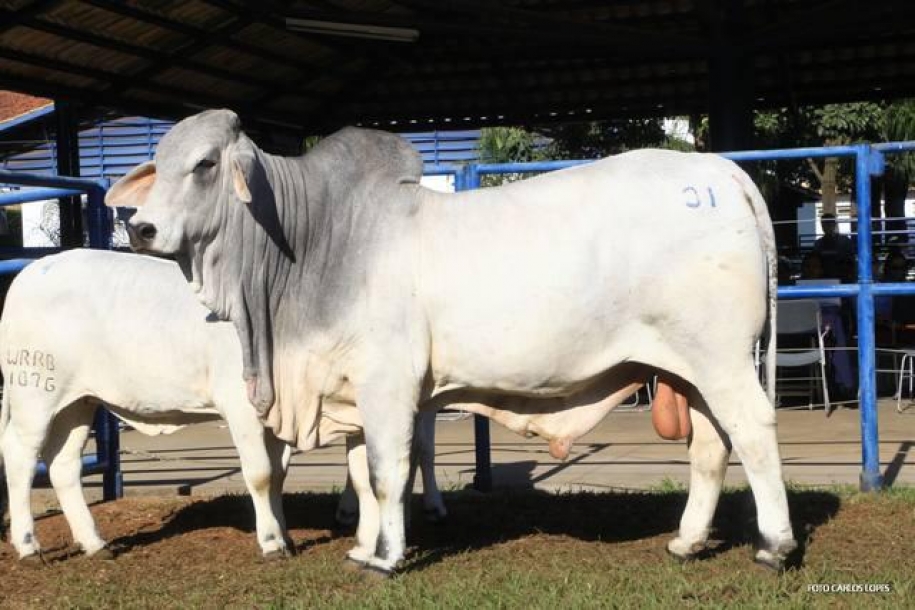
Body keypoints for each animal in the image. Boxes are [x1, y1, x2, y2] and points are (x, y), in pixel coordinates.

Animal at [107, 110, 796, 576]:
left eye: (205, 164)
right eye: (157, 165)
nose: (140, 228)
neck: (316, 241)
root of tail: (721, 170)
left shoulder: (388, 385)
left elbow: (387, 474)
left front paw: (386, 558)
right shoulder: (353, 393)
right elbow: (360, 477)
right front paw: (361, 545)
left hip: (721, 359)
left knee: (755, 432)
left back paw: (774, 546)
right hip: (689, 369)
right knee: (710, 448)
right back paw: (686, 542)